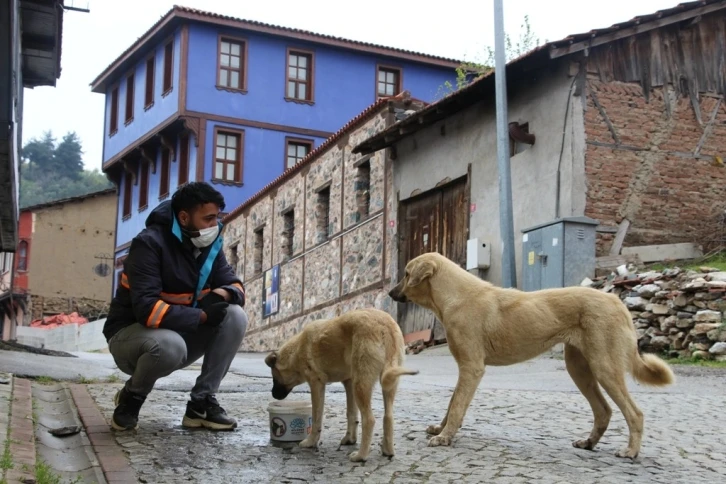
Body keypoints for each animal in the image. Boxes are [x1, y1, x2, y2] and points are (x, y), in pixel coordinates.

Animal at [264, 308, 418, 464]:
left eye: (274, 378)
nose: (273, 395)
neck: (296, 351)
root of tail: (385, 325)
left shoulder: (317, 384)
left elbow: (317, 418)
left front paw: (311, 441)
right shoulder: (348, 382)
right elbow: (351, 413)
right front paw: (350, 439)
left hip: (361, 384)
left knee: (369, 419)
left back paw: (361, 455)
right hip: (386, 382)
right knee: (388, 416)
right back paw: (387, 450)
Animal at [392, 251, 676, 460]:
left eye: (406, 274)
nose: (391, 293)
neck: (456, 296)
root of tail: (618, 303)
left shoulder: (471, 367)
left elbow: (457, 405)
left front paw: (444, 437)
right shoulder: (466, 368)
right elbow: (452, 404)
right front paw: (442, 430)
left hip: (604, 367)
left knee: (634, 413)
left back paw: (631, 451)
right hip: (579, 368)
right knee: (604, 410)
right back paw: (588, 442)